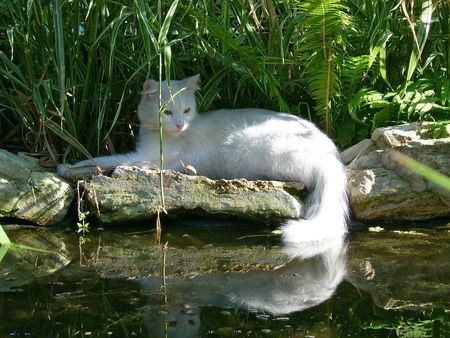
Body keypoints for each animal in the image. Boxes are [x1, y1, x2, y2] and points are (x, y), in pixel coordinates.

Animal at [58, 75, 350, 252]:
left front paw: (69, 167)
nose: (179, 124)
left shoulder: (149, 157)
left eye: (186, 111)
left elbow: (106, 160)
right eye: (167, 112)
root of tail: (331, 154)